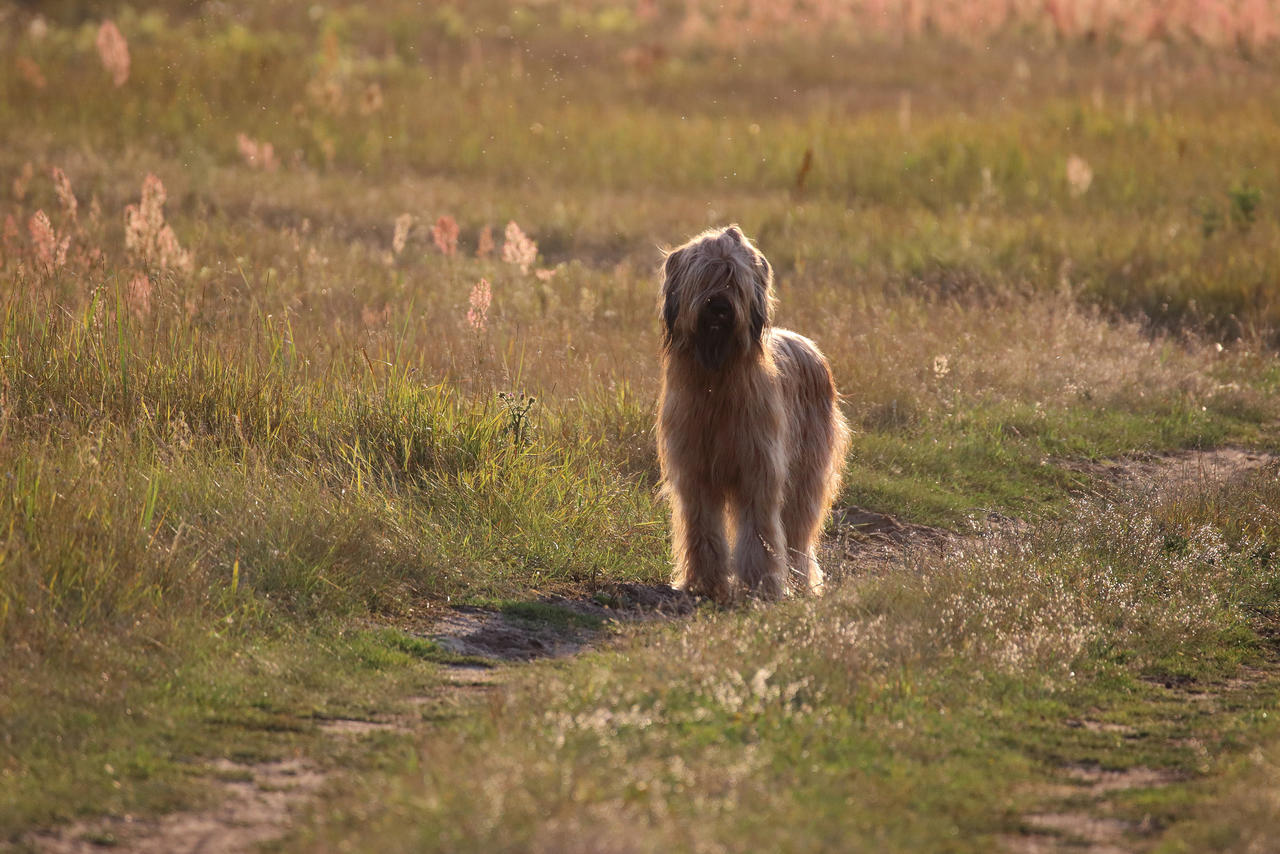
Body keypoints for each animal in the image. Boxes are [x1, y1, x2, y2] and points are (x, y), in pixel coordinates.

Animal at [660, 225, 849, 601]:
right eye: (706, 275)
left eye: (733, 278)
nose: (719, 307)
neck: (716, 382)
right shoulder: (695, 472)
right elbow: (702, 527)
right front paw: (704, 581)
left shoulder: (759, 467)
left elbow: (760, 531)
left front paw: (762, 585)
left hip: (807, 472)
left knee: (798, 531)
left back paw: (799, 580)